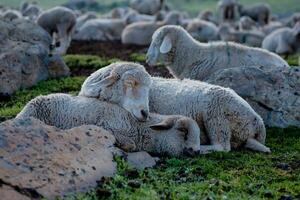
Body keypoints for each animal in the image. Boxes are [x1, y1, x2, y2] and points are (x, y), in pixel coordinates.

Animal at [17, 93, 203, 157]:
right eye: (183, 131)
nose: (196, 151)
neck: (139, 128)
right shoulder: (107, 126)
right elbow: (129, 143)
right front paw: (122, 146)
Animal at [78, 61, 270, 152]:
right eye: (130, 82)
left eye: (148, 87)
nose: (145, 113)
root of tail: (257, 120)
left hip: (216, 115)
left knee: (222, 146)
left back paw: (199, 147)